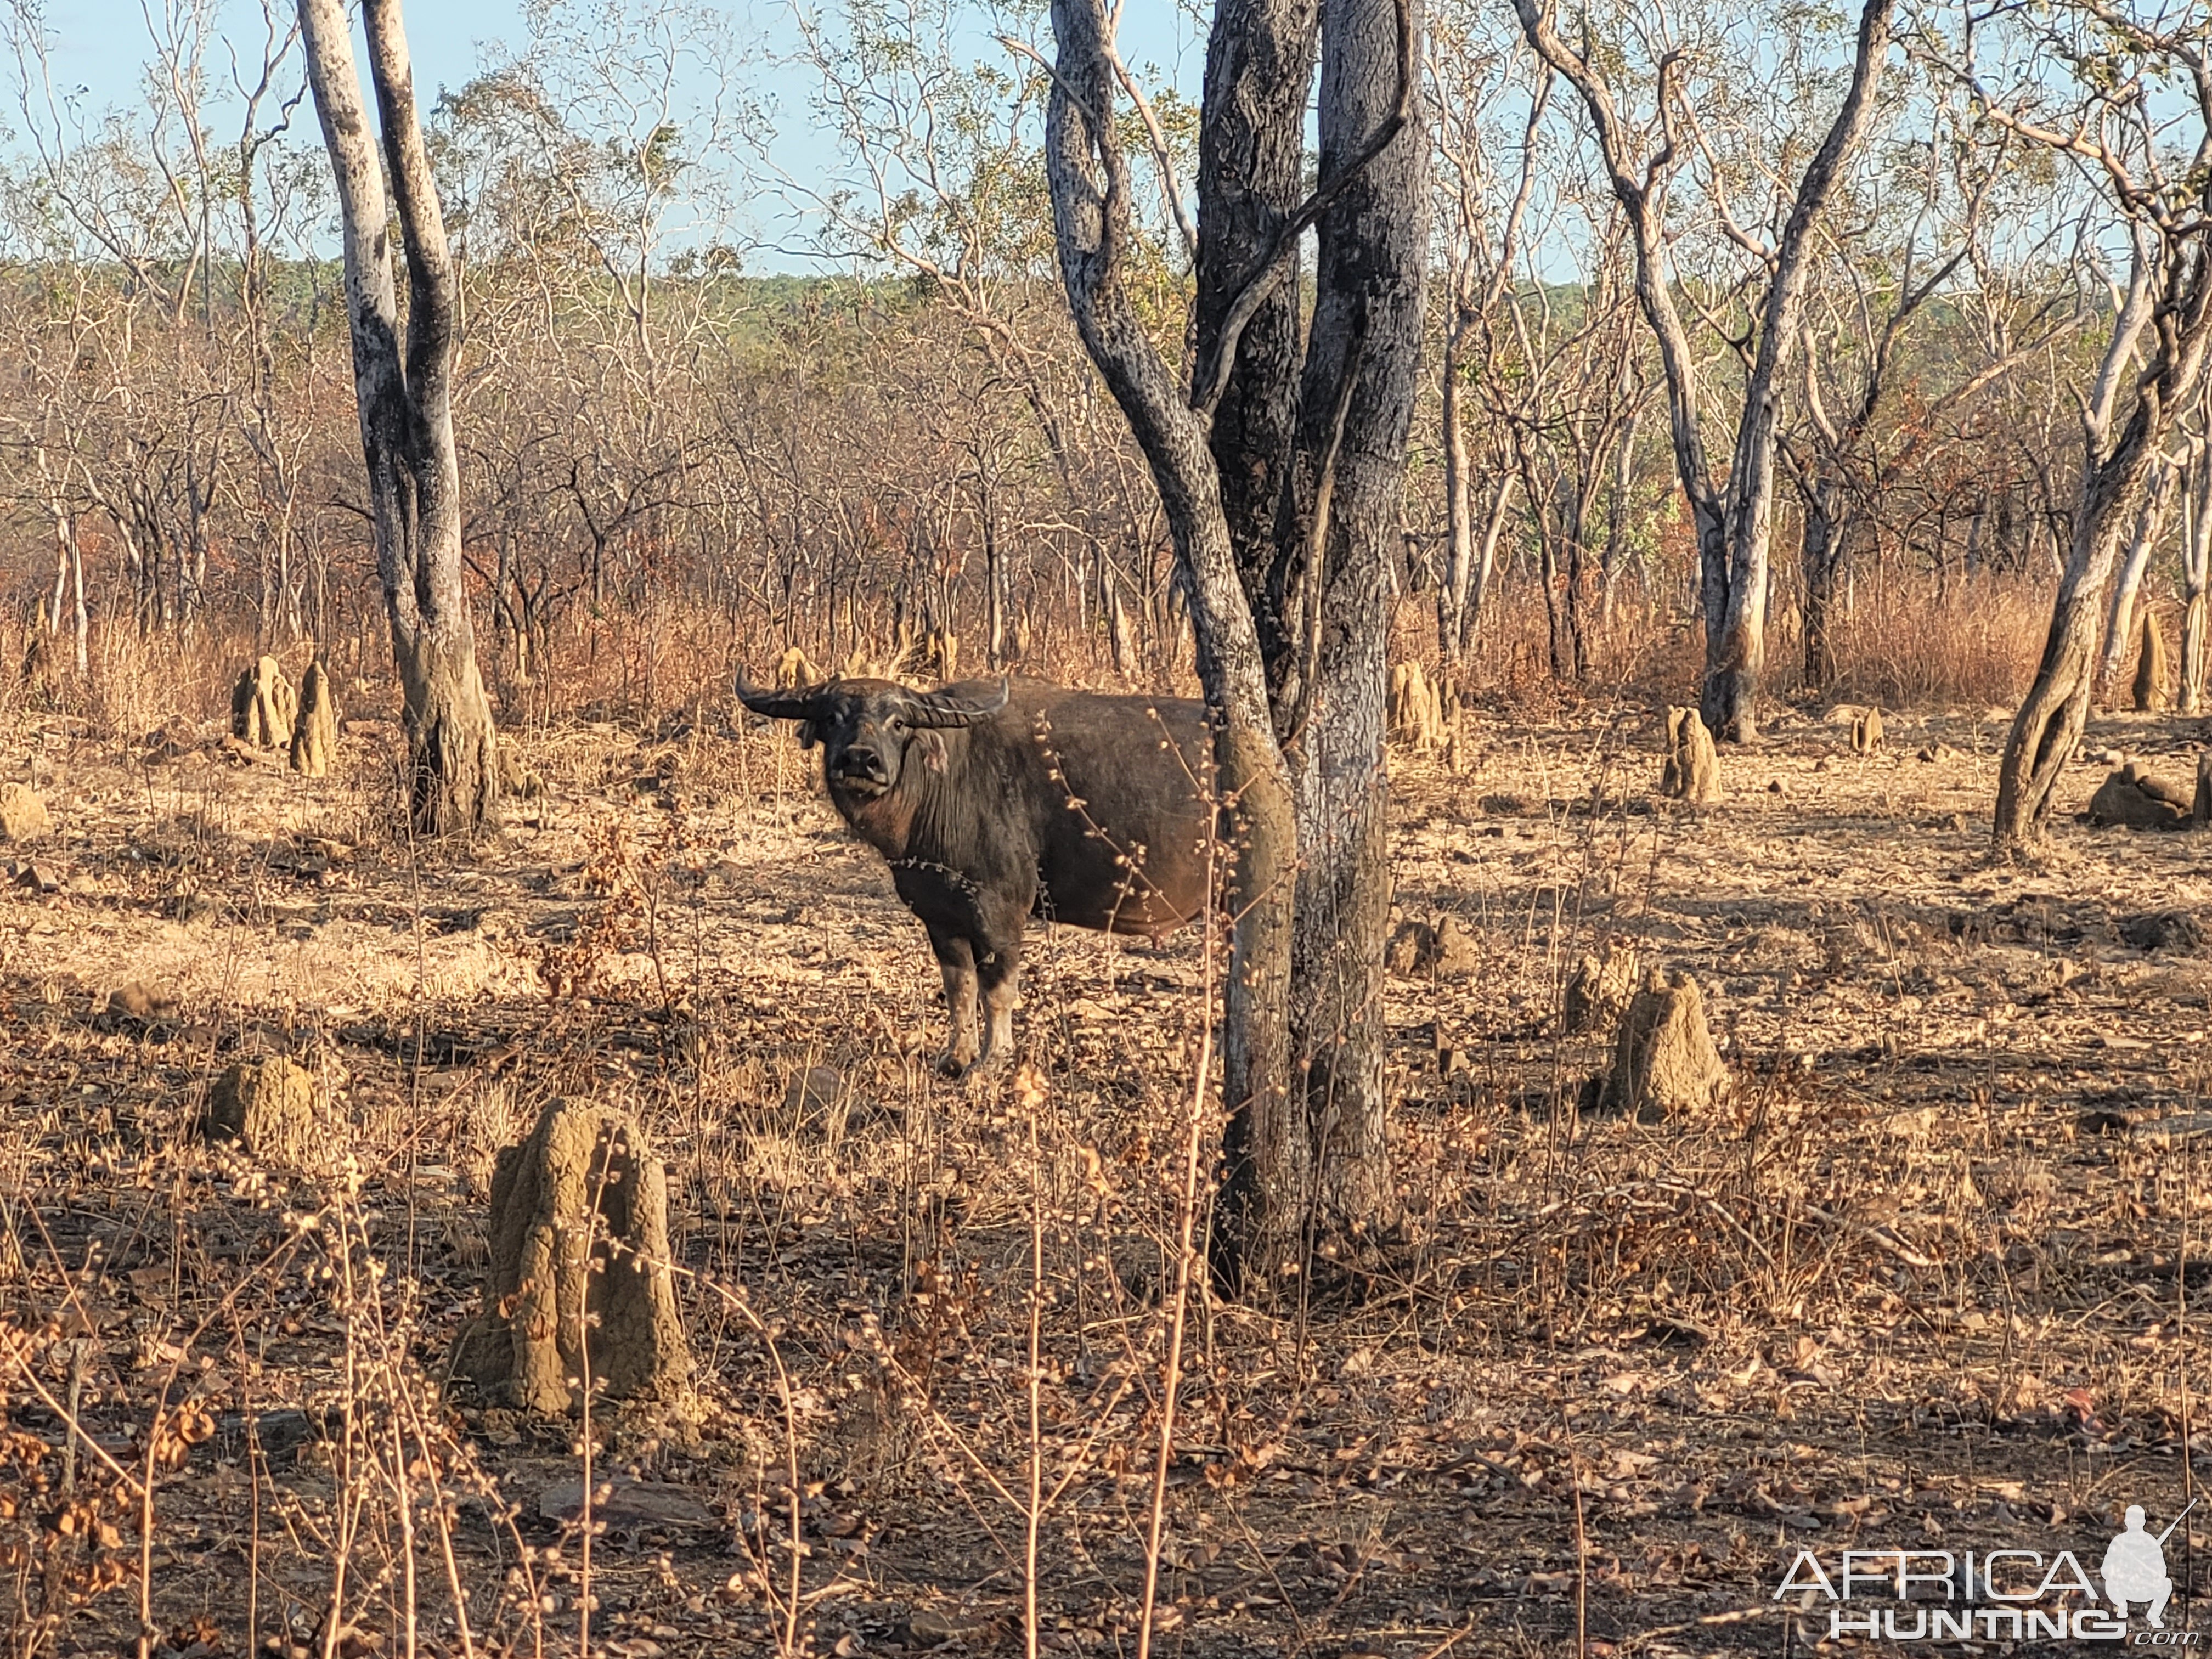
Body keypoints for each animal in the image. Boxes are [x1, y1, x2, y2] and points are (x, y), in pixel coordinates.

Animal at [734, 676, 1212, 1079]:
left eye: (898, 722)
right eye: (833, 718)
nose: (859, 760)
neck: (939, 792)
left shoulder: (999, 912)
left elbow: (996, 990)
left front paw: (991, 1061)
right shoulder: (939, 915)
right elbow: (959, 986)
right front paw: (956, 1056)